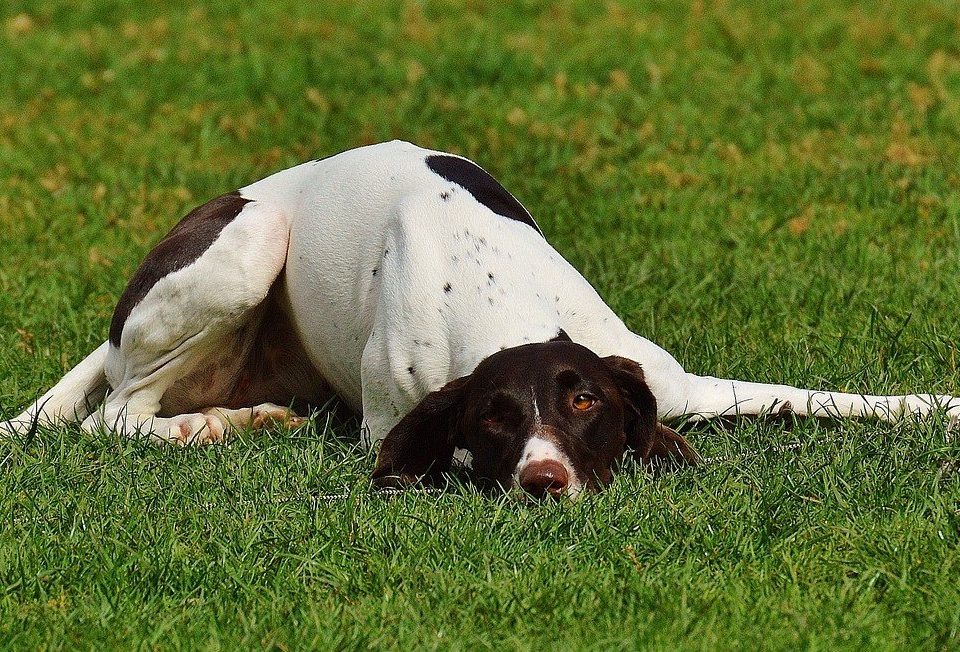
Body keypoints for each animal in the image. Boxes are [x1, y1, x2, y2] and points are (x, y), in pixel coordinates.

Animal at [1, 143, 960, 496]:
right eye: (494, 419)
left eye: (585, 404)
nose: (545, 481)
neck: (498, 298)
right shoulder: (389, 423)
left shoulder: (677, 382)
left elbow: (835, 399)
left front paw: (937, 408)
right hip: (248, 243)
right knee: (117, 416)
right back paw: (210, 426)